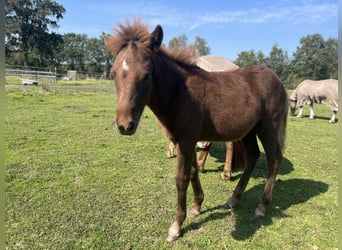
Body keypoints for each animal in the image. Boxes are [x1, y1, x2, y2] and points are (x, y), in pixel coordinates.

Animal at [105, 19, 288, 242]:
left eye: (147, 74)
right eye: (113, 74)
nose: (124, 126)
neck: (181, 94)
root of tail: (276, 79)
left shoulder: (186, 140)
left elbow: (181, 178)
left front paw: (176, 227)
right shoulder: (186, 141)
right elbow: (193, 172)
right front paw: (197, 206)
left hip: (268, 128)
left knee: (274, 159)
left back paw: (261, 207)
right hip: (248, 131)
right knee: (253, 156)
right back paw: (233, 199)